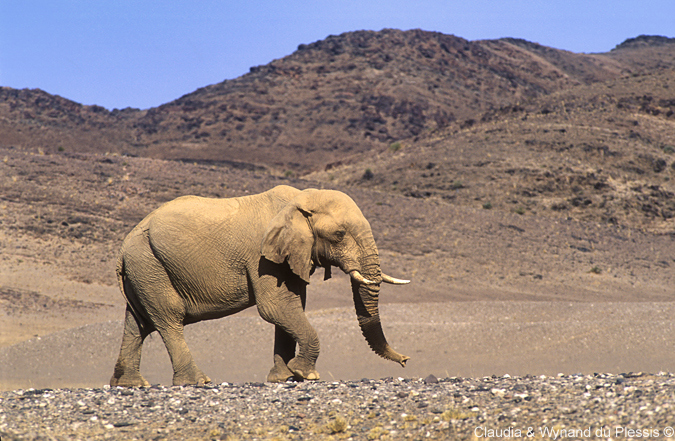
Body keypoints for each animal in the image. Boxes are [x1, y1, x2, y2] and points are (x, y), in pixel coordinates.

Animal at [109, 185, 412, 384]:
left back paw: (130, 384)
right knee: (168, 318)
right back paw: (197, 382)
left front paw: (283, 378)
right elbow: (275, 308)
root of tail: (122, 251)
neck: (299, 200)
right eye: (339, 234)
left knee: (138, 324)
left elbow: (291, 308)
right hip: (149, 264)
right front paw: (305, 374)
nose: (406, 361)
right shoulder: (261, 256)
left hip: (142, 270)